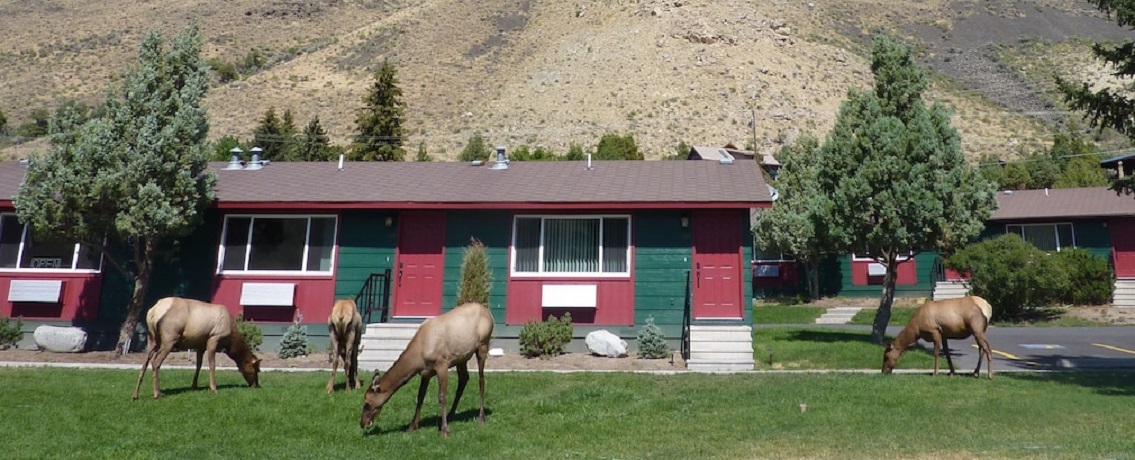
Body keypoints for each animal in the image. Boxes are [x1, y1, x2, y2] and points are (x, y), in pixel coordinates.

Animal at [130, 297, 261, 397]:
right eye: (255, 370)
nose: (256, 385)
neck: (230, 341)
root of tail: (153, 312)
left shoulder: (200, 345)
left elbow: (198, 365)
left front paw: (193, 386)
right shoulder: (213, 338)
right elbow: (212, 364)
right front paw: (214, 388)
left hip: (152, 339)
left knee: (145, 361)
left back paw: (135, 395)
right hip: (169, 339)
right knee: (156, 361)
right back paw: (157, 393)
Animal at [358, 302, 492, 438]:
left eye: (367, 403)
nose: (362, 423)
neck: (419, 357)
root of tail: (488, 312)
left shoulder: (442, 364)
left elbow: (442, 396)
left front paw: (444, 430)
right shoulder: (425, 373)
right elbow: (420, 396)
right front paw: (412, 425)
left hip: (483, 344)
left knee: (481, 380)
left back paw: (481, 417)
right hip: (461, 358)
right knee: (464, 379)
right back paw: (451, 414)